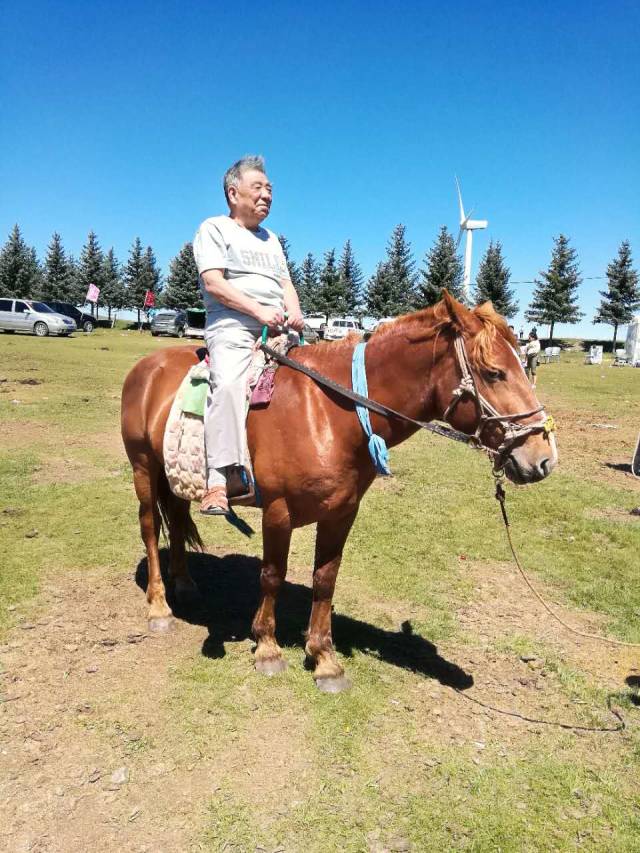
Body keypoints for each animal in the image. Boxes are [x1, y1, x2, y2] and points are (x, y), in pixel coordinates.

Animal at [121, 292, 556, 692]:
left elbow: (326, 578)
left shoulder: (341, 512)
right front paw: (267, 648)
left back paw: (185, 585)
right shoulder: (277, 511)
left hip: (175, 477)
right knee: (150, 528)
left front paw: (324, 659)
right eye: (494, 372)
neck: (328, 413)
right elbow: (272, 575)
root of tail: (146, 367)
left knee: (177, 522)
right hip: (143, 468)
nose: (543, 458)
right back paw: (159, 607)